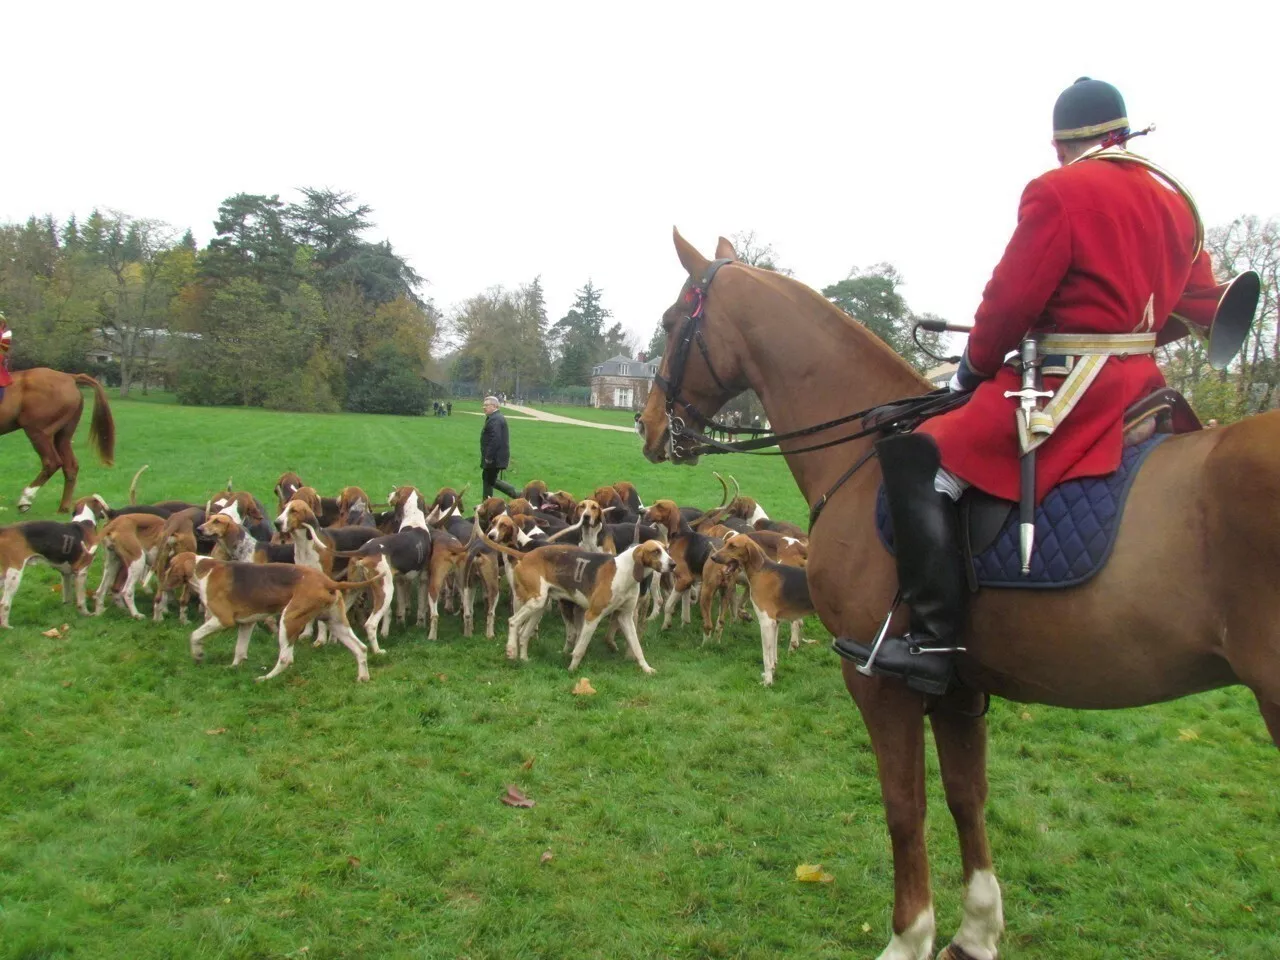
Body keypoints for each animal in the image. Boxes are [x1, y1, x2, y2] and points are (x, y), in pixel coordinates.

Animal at [0, 368, 113, 514]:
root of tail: (70, 377)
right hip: (62, 436)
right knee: (70, 466)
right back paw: (63, 507)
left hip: (39, 432)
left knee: (52, 462)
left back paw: (26, 499)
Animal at [640, 231, 1280, 960]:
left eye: (672, 321)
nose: (648, 424)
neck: (864, 454)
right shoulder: (957, 686)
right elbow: (964, 797)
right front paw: (975, 930)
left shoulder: (880, 680)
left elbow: (904, 807)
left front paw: (910, 935)